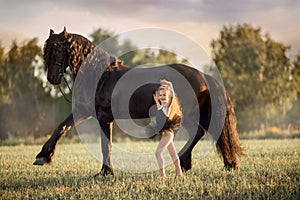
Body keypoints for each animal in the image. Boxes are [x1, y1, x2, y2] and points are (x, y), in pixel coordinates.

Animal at [34, 27, 243, 175]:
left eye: (58, 48)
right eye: (47, 50)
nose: (52, 77)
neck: (101, 76)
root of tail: (203, 76)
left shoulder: (103, 117)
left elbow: (105, 145)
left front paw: (106, 172)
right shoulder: (84, 112)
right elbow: (61, 128)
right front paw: (42, 157)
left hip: (189, 113)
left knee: (198, 132)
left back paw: (186, 162)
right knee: (201, 133)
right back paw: (189, 163)